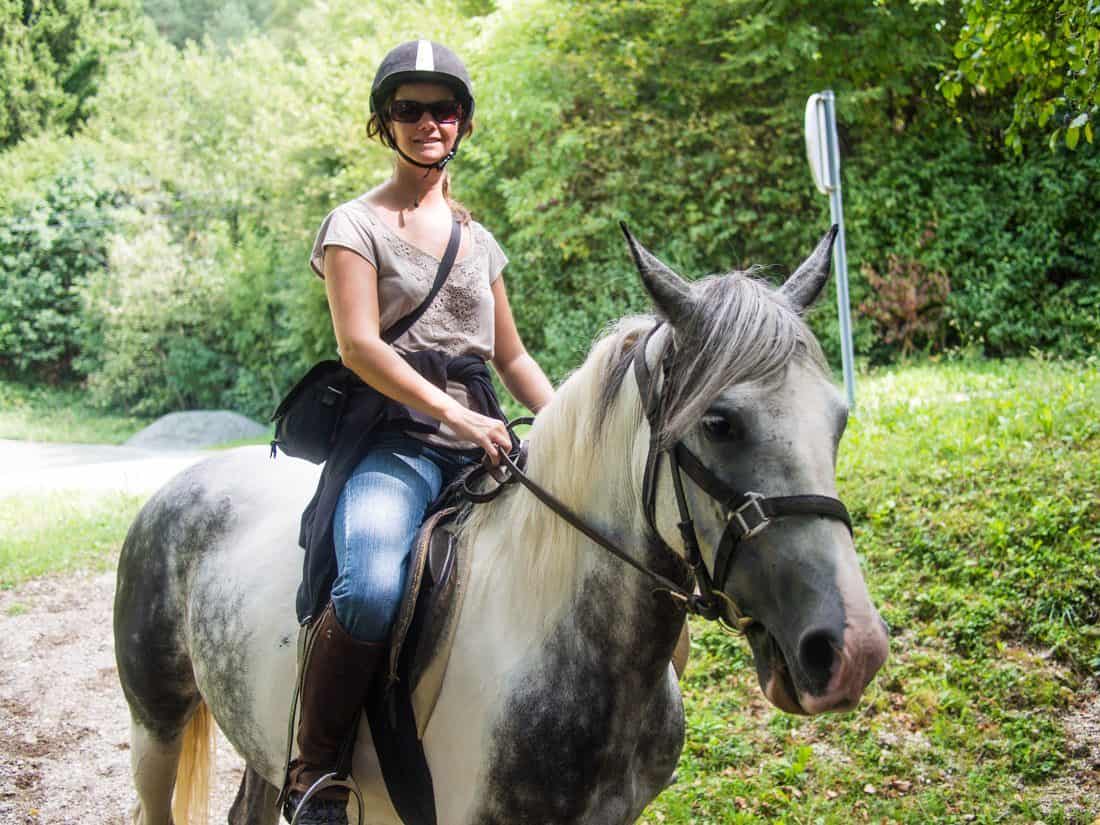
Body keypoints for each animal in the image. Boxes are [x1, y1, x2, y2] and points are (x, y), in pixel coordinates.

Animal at [113, 226, 884, 825]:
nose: (852, 650)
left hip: (264, 738)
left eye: (838, 418)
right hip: (156, 727)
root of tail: (176, 487)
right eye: (721, 423)